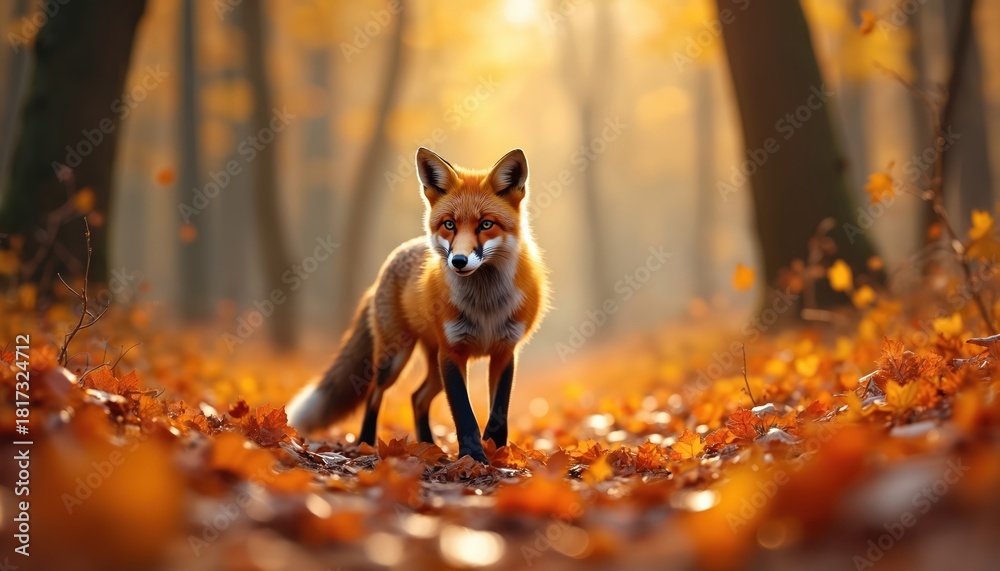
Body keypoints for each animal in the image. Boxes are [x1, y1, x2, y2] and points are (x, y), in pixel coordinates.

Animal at [287, 147, 548, 463]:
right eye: (449, 224)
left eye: (486, 224)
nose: (458, 261)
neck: (485, 305)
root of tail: (389, 263)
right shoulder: (452, 352)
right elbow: (464, 413)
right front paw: (473, 458)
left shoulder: (504, 351)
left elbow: (498, 414)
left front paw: (496, 455)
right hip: (395, 358)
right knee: (375, 393)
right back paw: (366, 444)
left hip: (433, 368)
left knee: (417, 397)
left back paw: (428, 446)